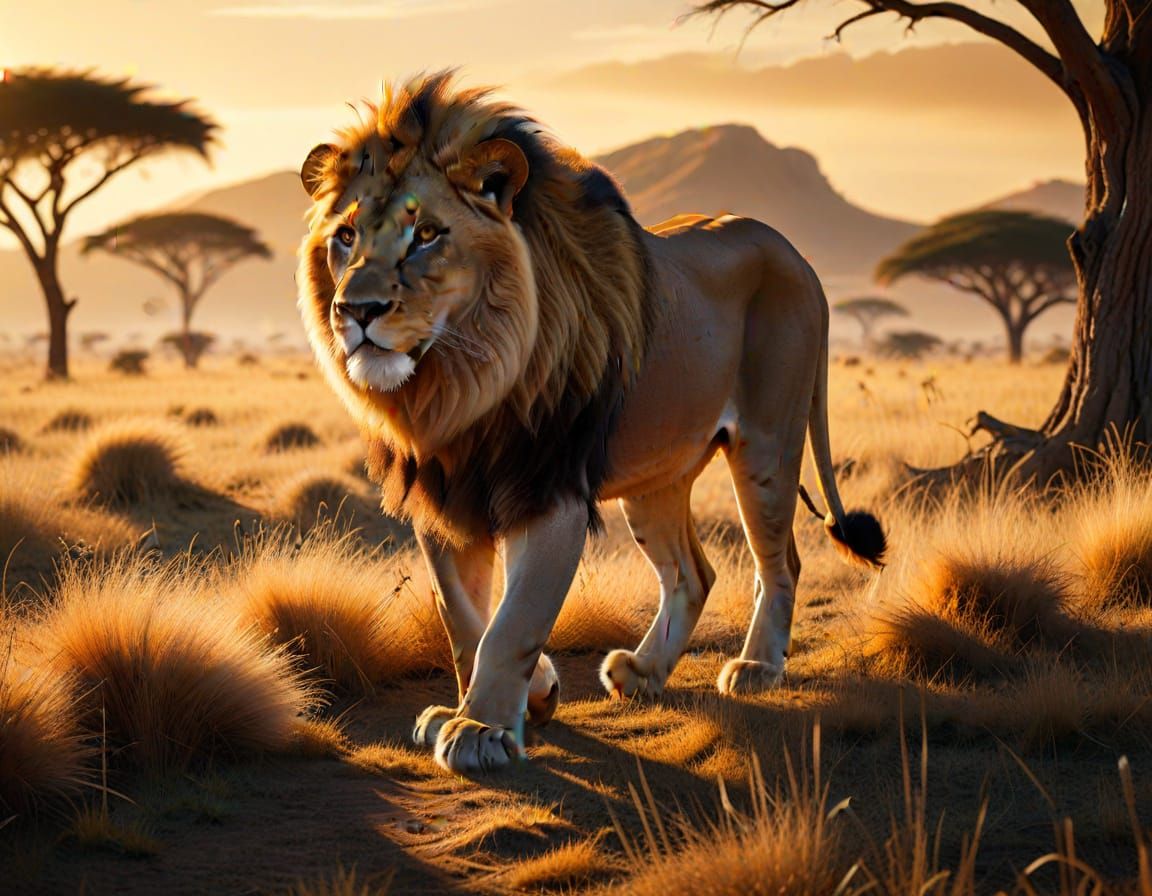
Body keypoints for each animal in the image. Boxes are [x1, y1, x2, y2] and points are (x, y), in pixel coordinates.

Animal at [297, 72, 885, 774]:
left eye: (428, 235)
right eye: (346, 237)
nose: (356, 310)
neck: (457, 385)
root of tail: (796, 255)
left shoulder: (550, 491)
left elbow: (514, 621)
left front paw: (480, 730)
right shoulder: (443, 498)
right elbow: (464, 618)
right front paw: (523, 696)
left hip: (767, 447)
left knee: (781, 562)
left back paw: (757, 668)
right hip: (655, 477)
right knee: (693, 573)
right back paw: (644, 672)